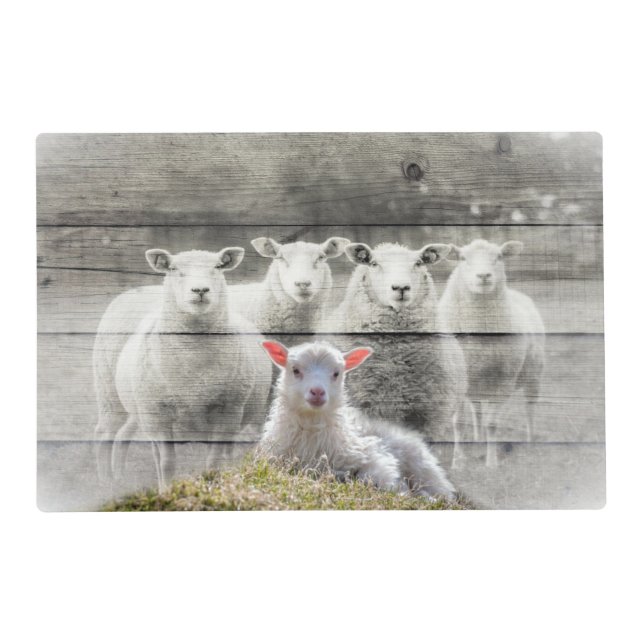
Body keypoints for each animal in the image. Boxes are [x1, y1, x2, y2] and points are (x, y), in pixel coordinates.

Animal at [93, 247, 272, 489]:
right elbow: (167, 463)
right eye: (173, 268)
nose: (200, 290)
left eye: (218, 267)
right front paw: (167, 490)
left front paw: (212, 486)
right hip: (112, 394)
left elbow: (213, 461)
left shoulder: (228, 411)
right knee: (106, 433)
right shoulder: (159, 414)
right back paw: (106, 482)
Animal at [258, 340, 456, 500]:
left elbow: (373, 477)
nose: (317, 392)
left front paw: (403, 491)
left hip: (423, 468)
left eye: (336, 373)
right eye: (295, 370)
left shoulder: (374, 455)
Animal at [437, 239, 546, 468]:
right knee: (476, 410)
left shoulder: (502, 381)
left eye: (499, 257)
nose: (484, 276)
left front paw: (492, 462)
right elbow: (458, 423)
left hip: (533, 375)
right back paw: (477, 440)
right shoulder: (458, 380)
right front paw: (458, 461)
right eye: (462, 258)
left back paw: (530, 442)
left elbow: (492, 424)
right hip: (475, 383)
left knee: (529, 409)